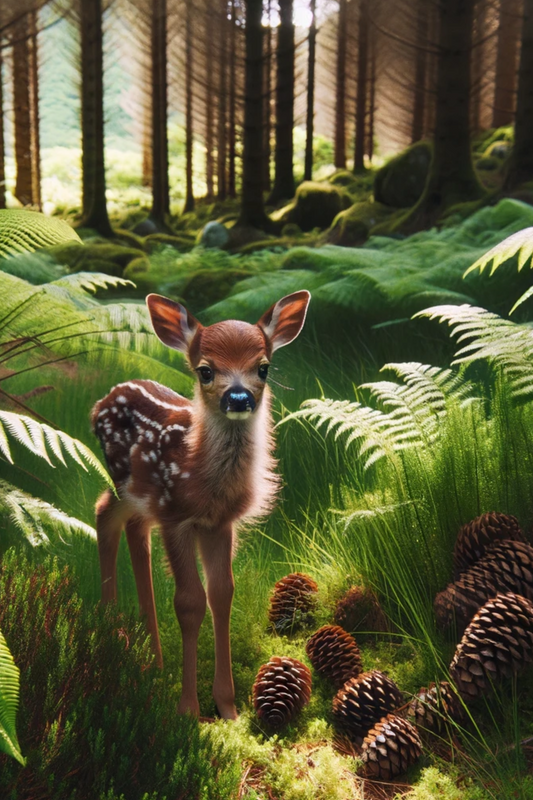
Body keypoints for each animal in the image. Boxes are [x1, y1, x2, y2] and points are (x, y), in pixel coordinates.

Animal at [91, 290, 310, 720]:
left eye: (263, 367)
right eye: (206, 371)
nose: (238, 397)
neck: (202, 477)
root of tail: (100, 403)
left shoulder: (219, 524)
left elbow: (222, 594)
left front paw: (228, 707)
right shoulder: (176, 516)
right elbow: (189, 602)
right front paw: (189, 710)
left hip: (140, 497)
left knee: (127, 525)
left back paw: (152, 661)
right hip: (127, 482)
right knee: (105, 513)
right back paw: (113, 640)